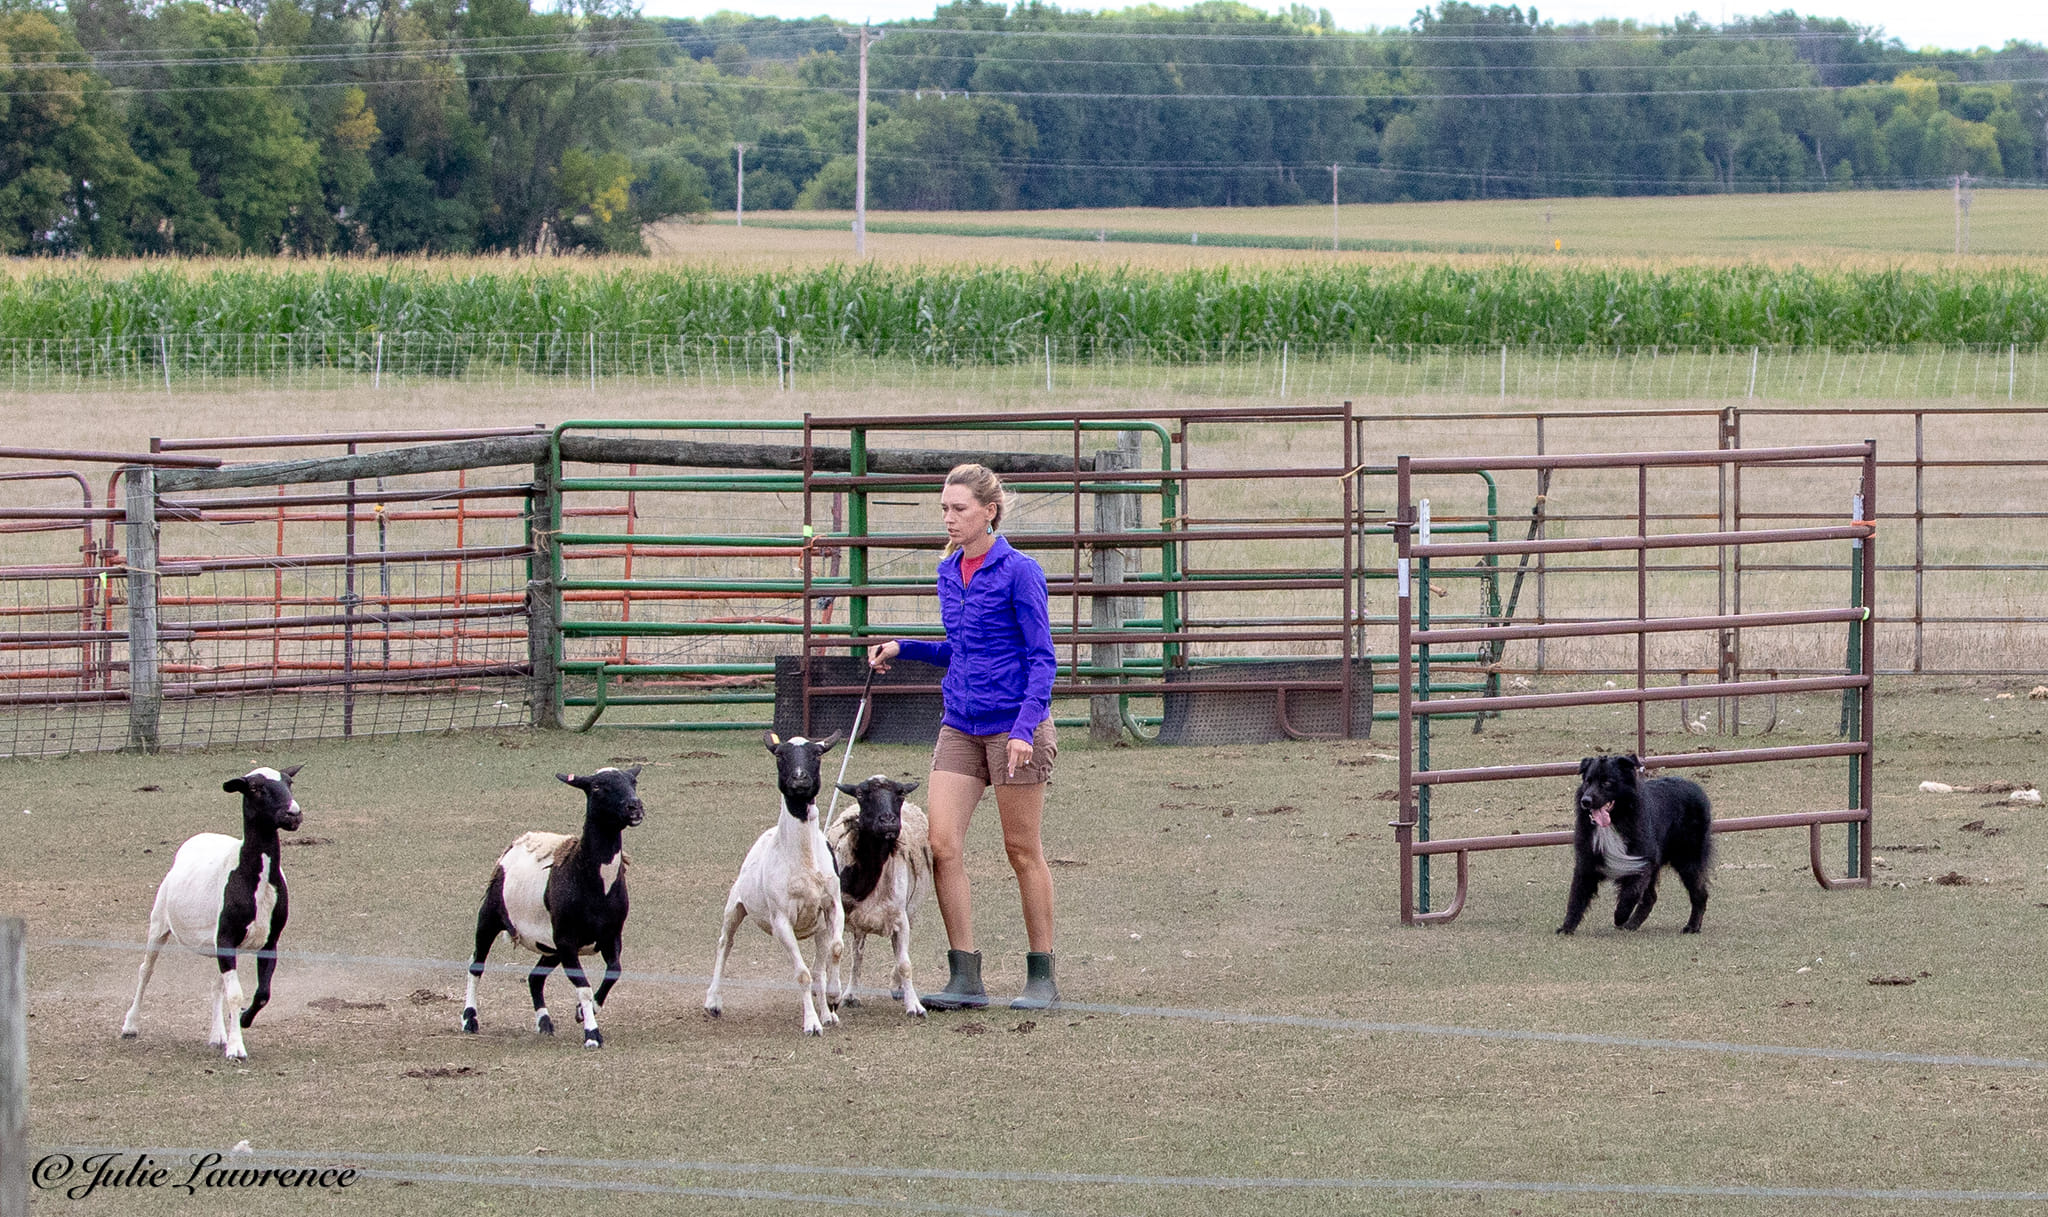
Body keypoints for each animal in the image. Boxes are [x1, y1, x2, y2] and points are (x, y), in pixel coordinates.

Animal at [120, 766, 304, 1061]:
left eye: (289, 782)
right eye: (255, 788)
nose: (293, 814)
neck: (254, 878)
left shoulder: (268, 941)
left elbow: (262, 993)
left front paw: (242, 1022)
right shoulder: (227, 937)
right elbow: (236, 994)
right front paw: (237, 1048)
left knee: (217, 984)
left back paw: (218, 1035)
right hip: (159, 922)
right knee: (145, 971)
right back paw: (130, 1026)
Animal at [461, 766, 643, 1049]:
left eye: (633, 781)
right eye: (598, 787)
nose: (634, 806)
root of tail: (518, 842)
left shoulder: (611, 935)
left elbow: (614, 971)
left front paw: (584, 1012)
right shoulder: (567, 940)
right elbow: (583, 987)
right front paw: (592, 1034)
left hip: (551, 945)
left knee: (535, 977)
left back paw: (544, 1022)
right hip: (490, 917)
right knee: (476, 964)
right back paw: (470, 1019)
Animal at [704, 733, 847, 1035]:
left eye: (817, 754)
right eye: (780, 755)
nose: (800, 778)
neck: (804, 861)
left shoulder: (833, 906)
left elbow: (835, 952)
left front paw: (833, 999)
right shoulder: (781, 920)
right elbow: (802, 974)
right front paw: (811, 1023)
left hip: (819, 929)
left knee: (820, 967)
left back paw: (827, 1012)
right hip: (735, 906)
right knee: (725, 943)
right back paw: (713, 1001)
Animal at [826, 775, 932, 1017]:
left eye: (900, 794)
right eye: (860, 794)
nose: (888, 822)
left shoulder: (901, 918)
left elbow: (905, 963)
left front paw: (914, 1006)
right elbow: (837, 951)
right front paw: (833, 996)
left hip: (911, 909)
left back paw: (897, 987)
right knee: (857, 955)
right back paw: (851, 994)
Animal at [1556, 754, 1713, 935]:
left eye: (1607, 782)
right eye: (1588, 781)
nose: (1585, 801)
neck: (1616, 820)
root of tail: (1696, 787)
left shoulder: (1641, 861)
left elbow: (1631, 893)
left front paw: (1619, 916)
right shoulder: (1586, 861)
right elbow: (1576, 896)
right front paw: (1566, 927)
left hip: (1688, 859)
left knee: (1699, 893)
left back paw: (1692, 926)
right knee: (1651, 897)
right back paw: (1632, 925)